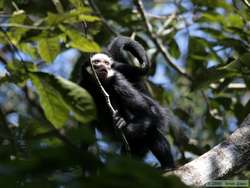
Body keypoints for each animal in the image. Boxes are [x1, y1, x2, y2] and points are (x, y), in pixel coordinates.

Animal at [79, 36, 175, 170]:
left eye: (106, 63)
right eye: (97, 62)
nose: (104, 66)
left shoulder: (117, 79)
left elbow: (146, 112)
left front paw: (124, 127)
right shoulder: (82, 87)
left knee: (152, 127)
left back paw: (168, 166)